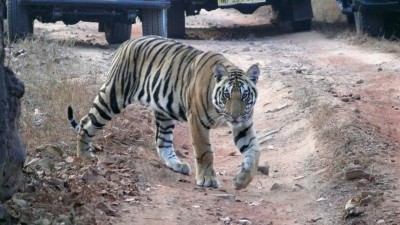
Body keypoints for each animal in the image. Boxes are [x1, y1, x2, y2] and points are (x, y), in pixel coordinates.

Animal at [68, 35, 262, 190]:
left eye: (245, 96)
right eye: (226, 95)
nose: (235, 116)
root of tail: (128, 42)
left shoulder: (244, 125)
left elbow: (254, 151)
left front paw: (242, 180)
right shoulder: (197, 121)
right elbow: (205, 151)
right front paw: (207, 179)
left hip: (164, 112)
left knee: (162, 142)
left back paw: (177, 165)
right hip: (113, 96)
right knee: (86, 123)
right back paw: (85, 156)